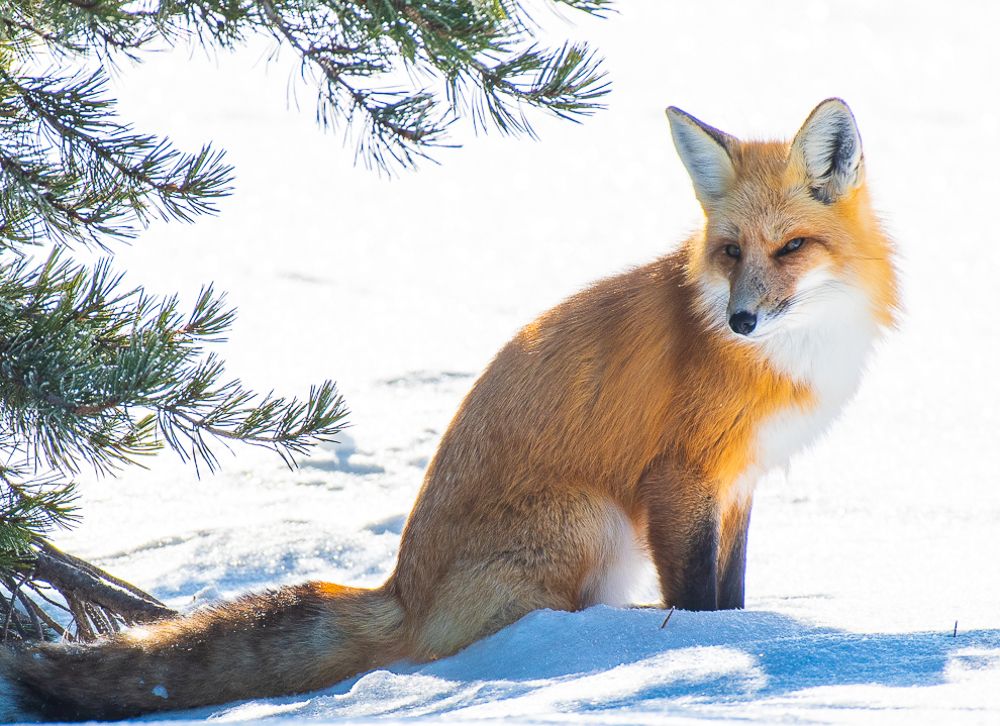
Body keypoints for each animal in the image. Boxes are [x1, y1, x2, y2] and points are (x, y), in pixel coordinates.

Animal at [2, 98, 897, 720]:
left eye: (790, 248)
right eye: (730, 252)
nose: (742, 320)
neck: (786, 357)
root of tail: (402, 592)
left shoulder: (738, 484)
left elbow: (733, 597)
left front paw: (745, 639)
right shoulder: (679, 480)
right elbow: (700, 605)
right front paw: (704, 653)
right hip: (590, 521)